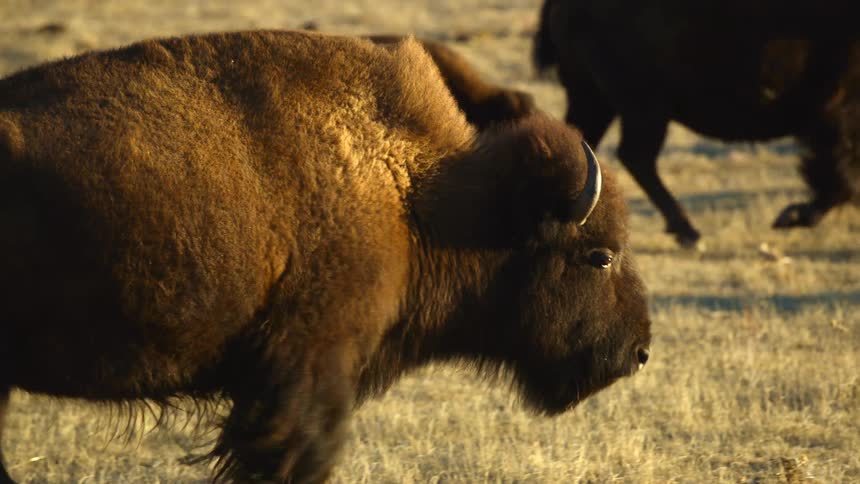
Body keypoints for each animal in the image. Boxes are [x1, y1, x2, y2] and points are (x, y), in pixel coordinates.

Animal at [534, 0, 860, 246]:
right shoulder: (835, 111)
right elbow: (838, 173)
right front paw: (792, 216)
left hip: (599, 101)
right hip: (642, 108)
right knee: (635, 156)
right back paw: (688, 231)